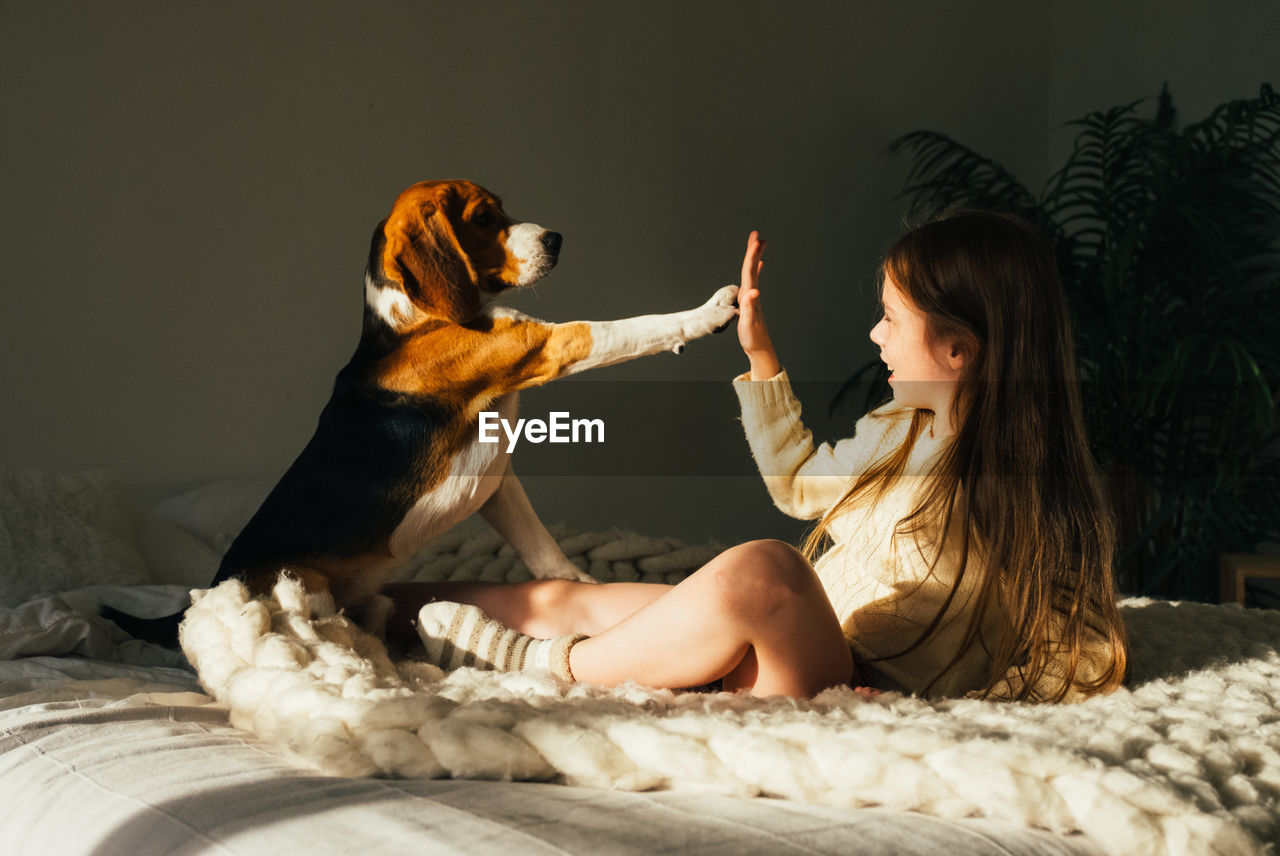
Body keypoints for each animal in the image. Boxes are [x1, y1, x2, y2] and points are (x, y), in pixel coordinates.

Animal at [110, 180, 742, 639]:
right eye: (484, 218)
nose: (557, 238)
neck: (414, 316)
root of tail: (214, 584)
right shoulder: (546, 344)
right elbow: (633, 328)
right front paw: (707, 313)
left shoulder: (495, 476)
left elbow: (538, 542)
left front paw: (575, 582)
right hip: (304, 588)